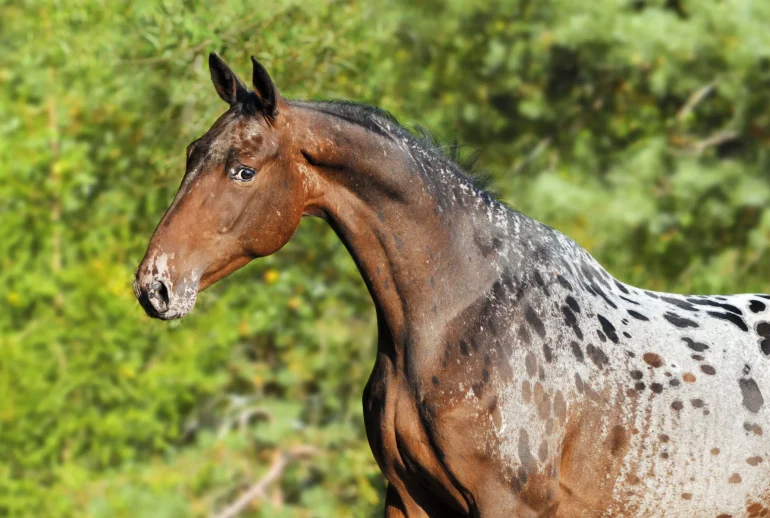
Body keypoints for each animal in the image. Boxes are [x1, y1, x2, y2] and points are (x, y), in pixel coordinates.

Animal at [134, 53, 770, 517]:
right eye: (192, 153)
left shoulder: (507, 506)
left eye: (243, 170)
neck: (462, 317)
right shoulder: (409, 498)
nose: (154, 286)